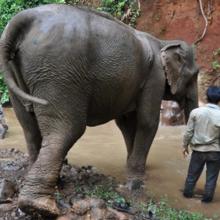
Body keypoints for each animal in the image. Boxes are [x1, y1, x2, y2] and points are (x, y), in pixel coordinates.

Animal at [0, 3, 199, 217]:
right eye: (195, 75)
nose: (186, 154)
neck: (163, 41)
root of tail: (24, 18)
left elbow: (128, 124)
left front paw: (131, 170)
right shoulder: (154, 77)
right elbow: (147, 122)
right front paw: (136, 184)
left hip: (24, 73)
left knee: (29, 128)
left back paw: (53, 187)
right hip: (59, 73)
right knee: (67, 130)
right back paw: (39, 206)